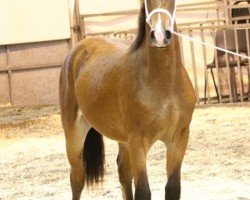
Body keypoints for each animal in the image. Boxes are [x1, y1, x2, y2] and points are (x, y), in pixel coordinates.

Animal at [59, 0, 196, 199]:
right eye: (146, 2)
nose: (160, 36)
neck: (163, 84)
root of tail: (78, 49)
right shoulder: (137, 142)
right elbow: (143, 191)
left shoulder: (179, 138)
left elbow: (172, 187)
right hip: (74, 134)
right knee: (77, 178)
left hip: (123, 141)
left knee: (123, 174)